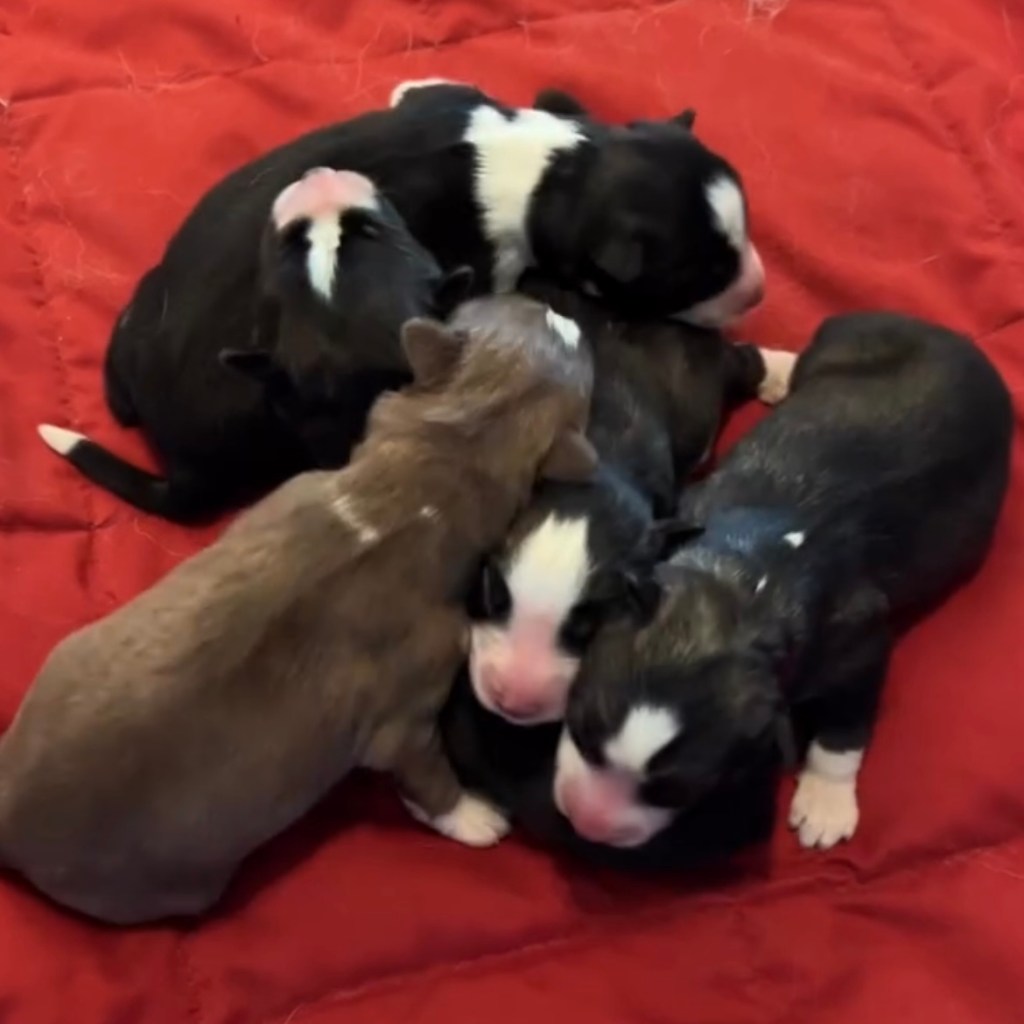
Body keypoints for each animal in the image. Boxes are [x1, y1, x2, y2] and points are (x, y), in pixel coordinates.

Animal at [0, 294, 596, 924]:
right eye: (566, 334)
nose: (566, 310)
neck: (433, 473)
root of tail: (6, 813)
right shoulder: (405, 722)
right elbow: (429, 777)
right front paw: (473, 817)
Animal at [552, 312, 1013, 851]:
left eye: (676, 792)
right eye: (579, 729)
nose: (587, 823)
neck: (742, 582)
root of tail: (956, 339)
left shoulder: (859, 641)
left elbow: (846, 723)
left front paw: (826, 804)